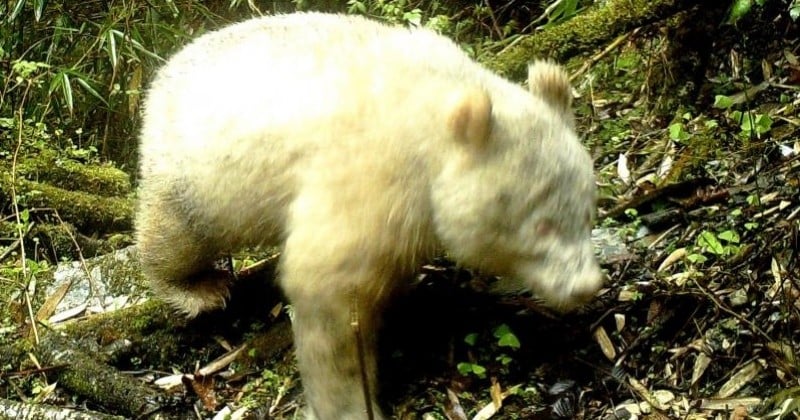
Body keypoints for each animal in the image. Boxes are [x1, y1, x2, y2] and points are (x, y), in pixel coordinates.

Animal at [136, 11, 600, 418]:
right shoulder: (371, 176)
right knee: (176, 234)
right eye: (542, 224)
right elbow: (328, 288)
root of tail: (162, 74)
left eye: (587, 213)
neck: (434, 116)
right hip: (195, 172)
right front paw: (350, 404)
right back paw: (197, 288)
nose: (587, 285)